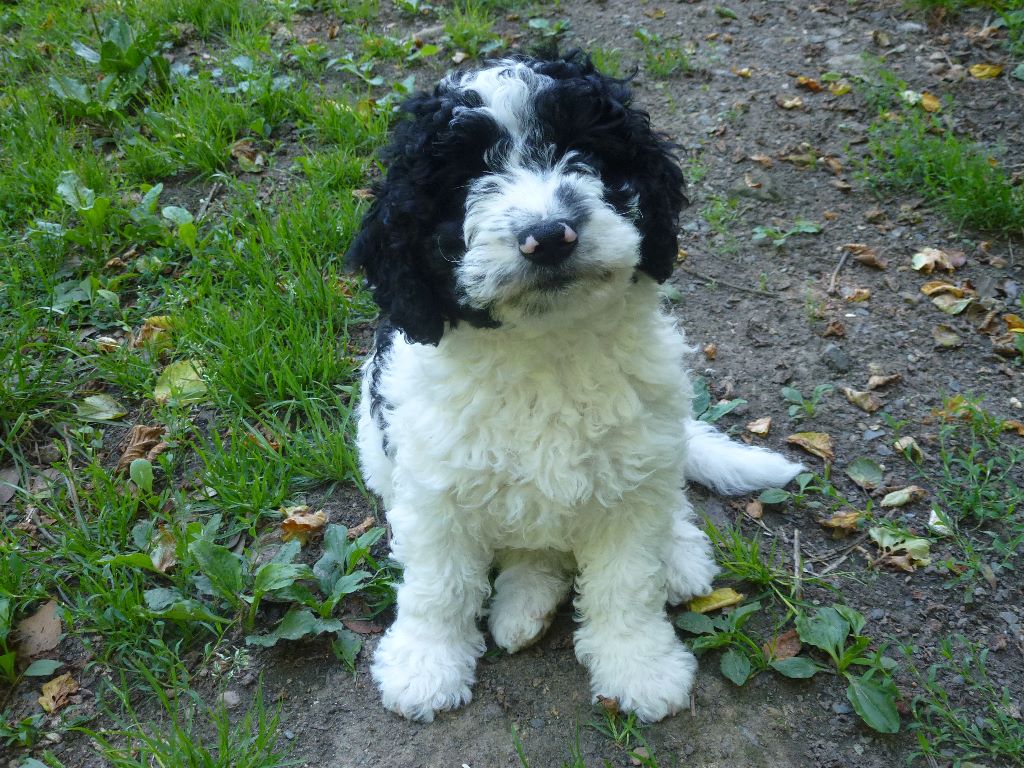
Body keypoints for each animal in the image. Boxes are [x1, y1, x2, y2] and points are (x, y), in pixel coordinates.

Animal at [346, 51, 803, 723]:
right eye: (461, 183)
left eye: (581, 151)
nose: (548, 235)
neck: (547, 346)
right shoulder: (434, 489)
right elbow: (438, 584)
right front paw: (425, 664)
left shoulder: (632, 482)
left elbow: (627, 580)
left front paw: (640, 666)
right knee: (530, 552)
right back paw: (524, 606)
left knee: (668, 507)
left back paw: (679, 558)